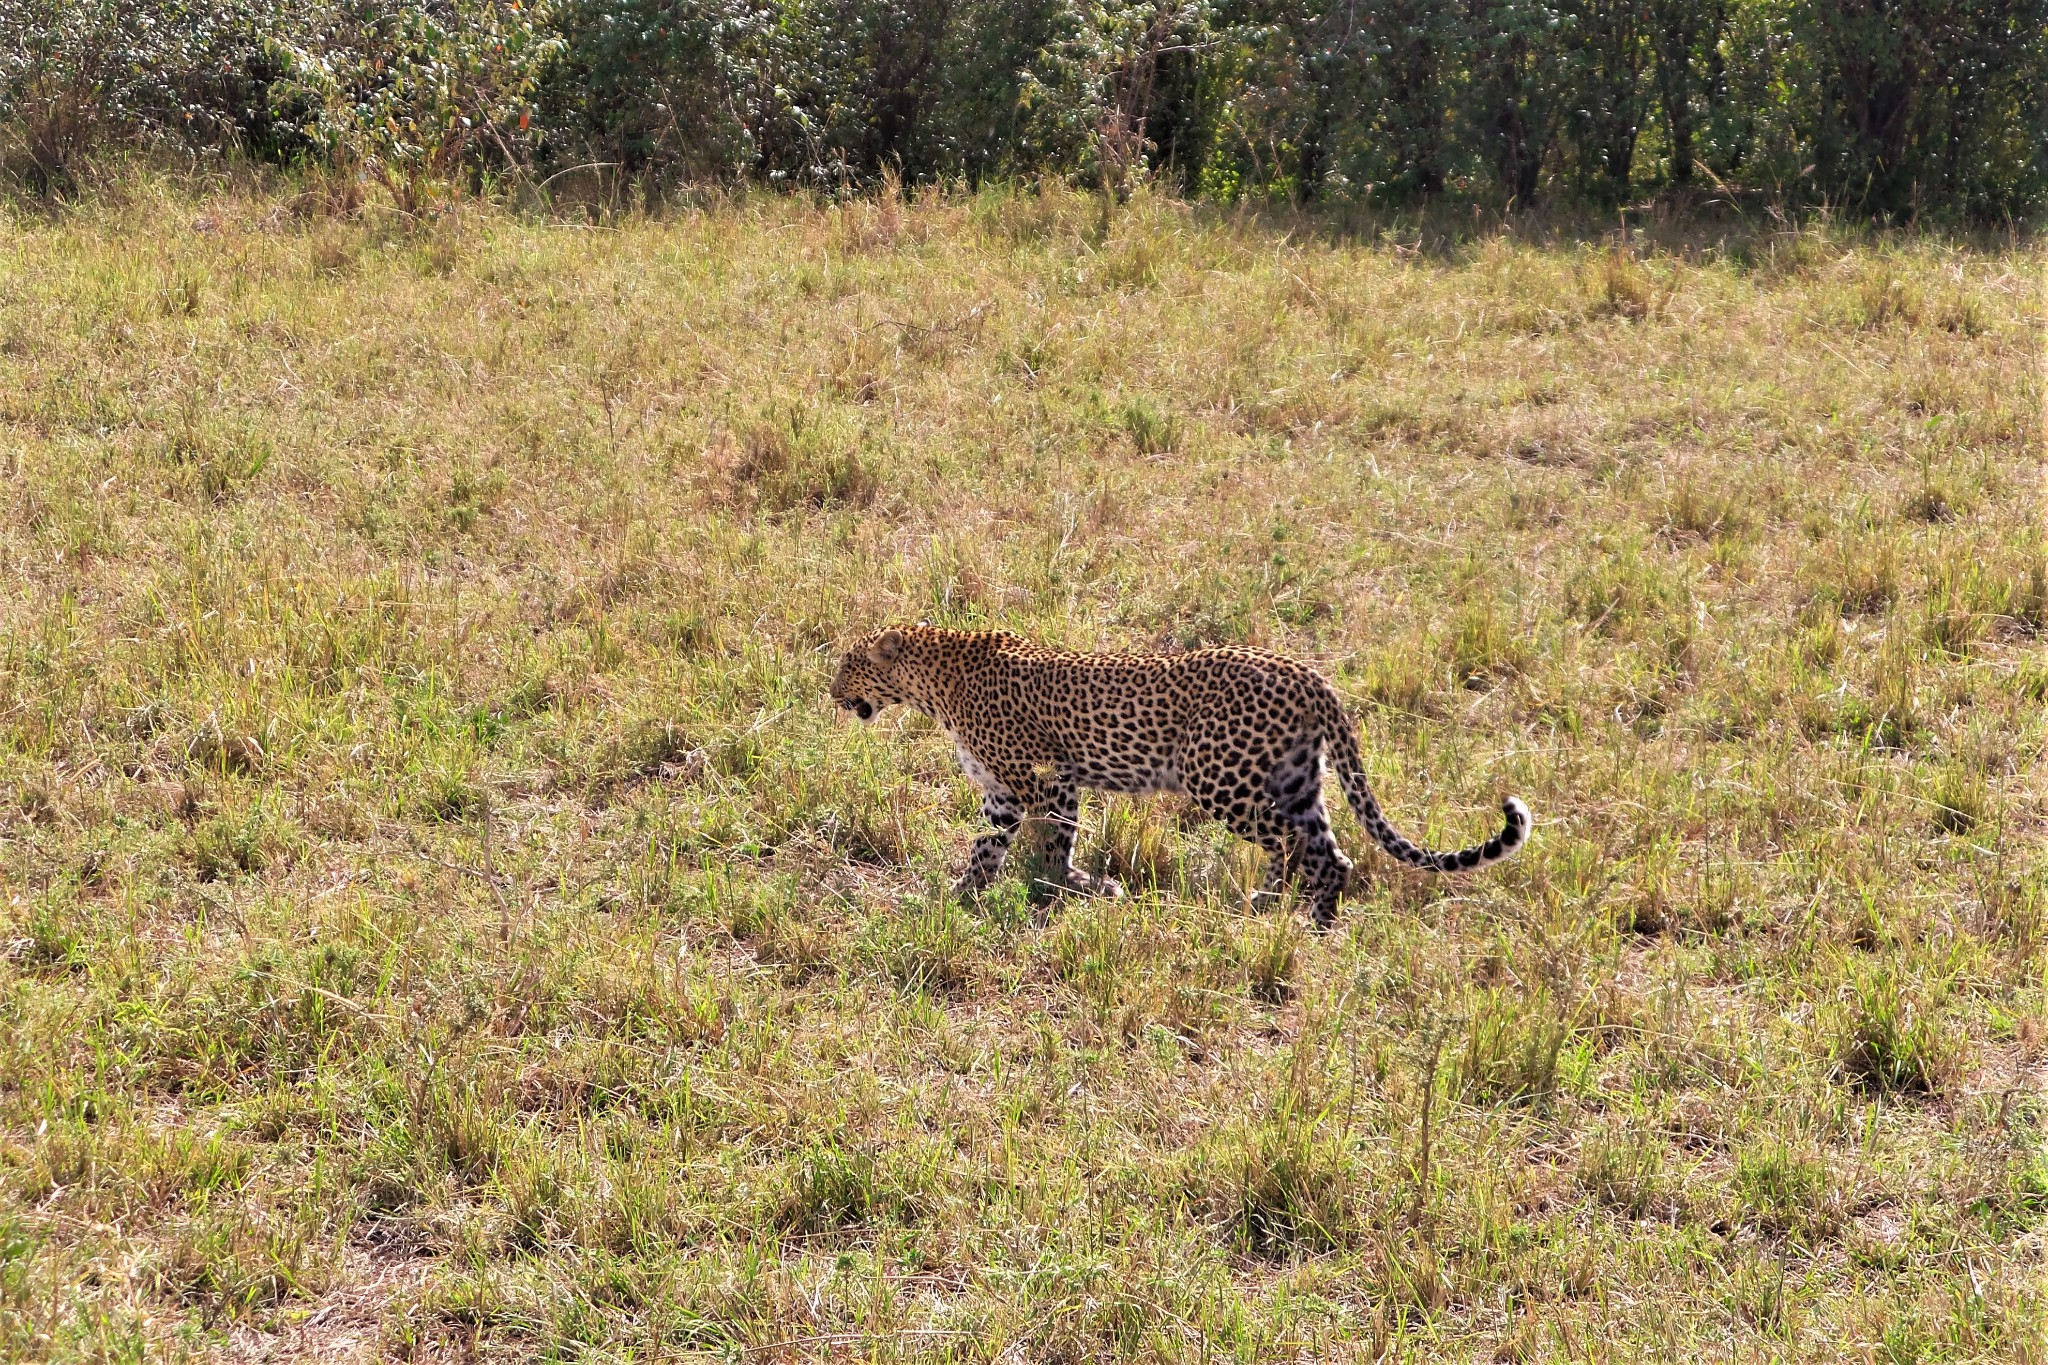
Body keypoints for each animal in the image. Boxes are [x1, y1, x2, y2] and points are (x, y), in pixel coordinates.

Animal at [823, 622, 1531, 925]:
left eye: (849, 665)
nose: (830, 693)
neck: (932, 683)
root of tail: (1309, 673)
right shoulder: (1011, 793)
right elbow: (989, 849)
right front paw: (964, 894)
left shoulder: (1041, 781)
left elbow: (1051, 843)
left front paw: (1069, 888)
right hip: (1296, 781)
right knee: (1329, 850)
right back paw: (1309, 918)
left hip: (1219, 778)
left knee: (1295, 847)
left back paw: (1279, 913)